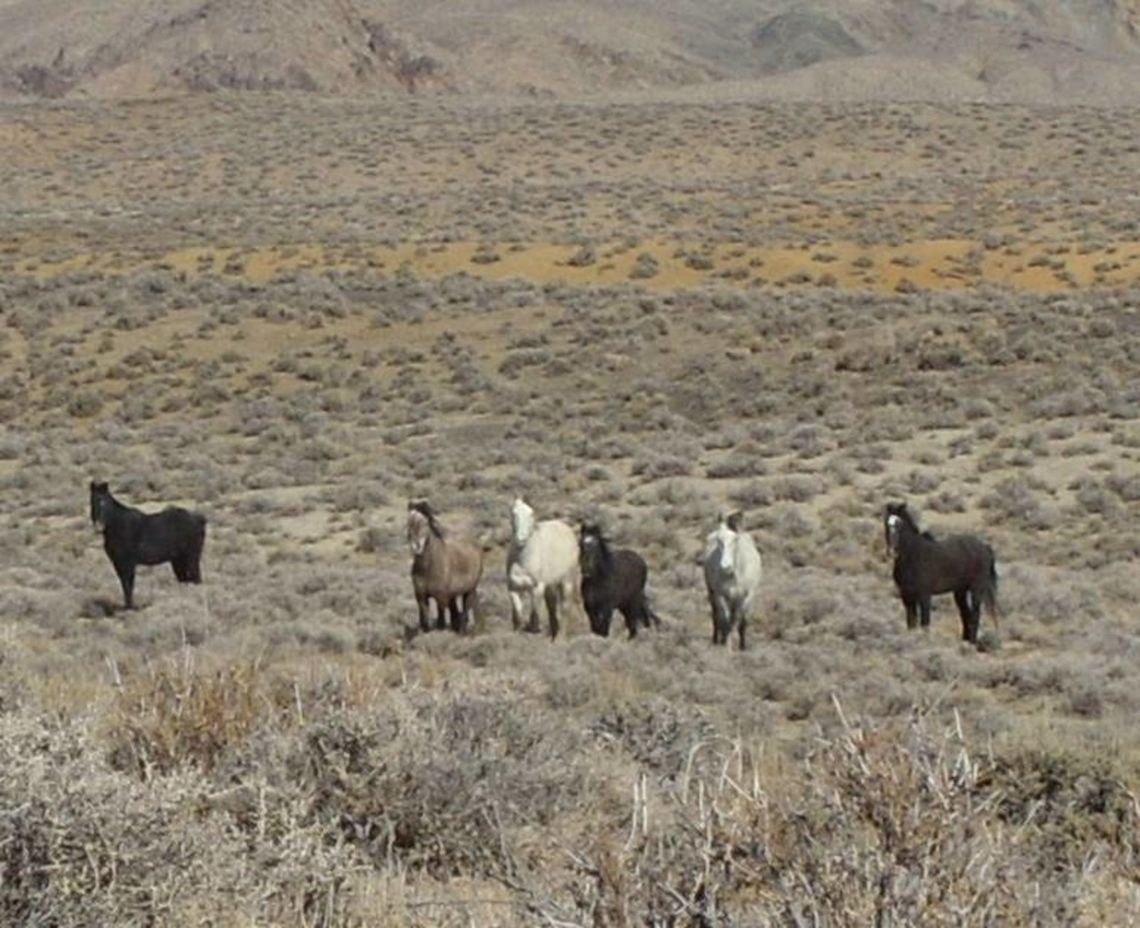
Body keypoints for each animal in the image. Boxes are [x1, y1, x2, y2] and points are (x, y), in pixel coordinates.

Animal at [89, 480, 207, 610]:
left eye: (104, 502)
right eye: (92, 502)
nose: (98, 526)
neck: (117, 525)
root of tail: (200, 519)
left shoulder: (128, 563)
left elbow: (128, 586)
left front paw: (131, 607)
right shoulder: (118, 563)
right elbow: (125, 586)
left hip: (192, 557)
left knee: (197, 578)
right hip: (178, 561)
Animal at [407, 500, 483, 634]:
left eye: (425, 523)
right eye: (409, 523)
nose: (416, 547)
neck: (429, 568)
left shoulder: (440, 598)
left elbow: (441, 621)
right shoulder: (421, 597)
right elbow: (425, 620)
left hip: (470, 589)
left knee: (466, 607)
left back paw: (463, 631)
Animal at [506, 497, 579, 639]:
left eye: (531, 514)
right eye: (514, 513)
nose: (520, 539)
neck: (522, 561)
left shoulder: (537, 587)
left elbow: (535, 610)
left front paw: (534, 629)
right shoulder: (513, 588)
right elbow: (518, 612)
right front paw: (518, 631)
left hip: (567, 581)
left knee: (565, 607)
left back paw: (560, 638)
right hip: (550, 586)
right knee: (552, 606)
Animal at [703, 512, 763, 649]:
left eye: (735, 539)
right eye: (718, 540)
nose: (725, 567)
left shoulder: (746, 597)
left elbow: (742, 622)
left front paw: (742, 646)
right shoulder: (720, 595)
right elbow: (725, 621)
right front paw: (726, 645)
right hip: (712, 592)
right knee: (716, 616)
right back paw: (716, 639)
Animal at [884, 501, 999, 644]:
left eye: (899, 524)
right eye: (886, 524)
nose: (892, 551)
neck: (914, 556)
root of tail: (985, 547)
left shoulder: (924, 596)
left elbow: (925, 623)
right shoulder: (906, 596)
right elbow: (911, 623)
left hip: (976, 589)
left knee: (975, 614)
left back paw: (972, 642)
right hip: (960, 591)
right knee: (965, 613)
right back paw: (965, 641)